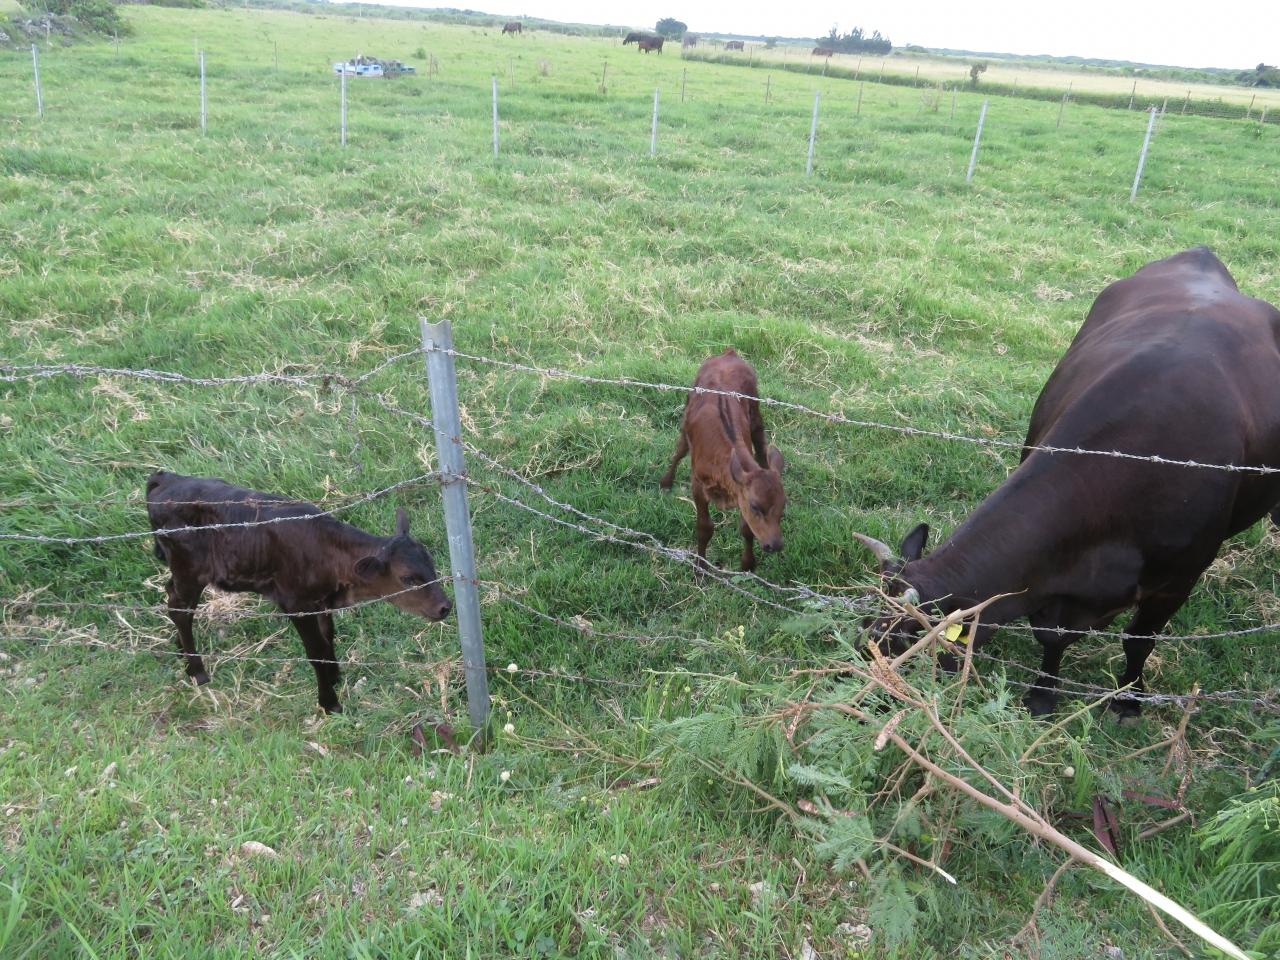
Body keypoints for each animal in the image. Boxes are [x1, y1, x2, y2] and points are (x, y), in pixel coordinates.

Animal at [146, 472, 452, 715]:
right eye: (408, 578)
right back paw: (197, 670)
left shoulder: (322, 601)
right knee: (179, 608)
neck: (328, 553)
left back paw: (181, 649)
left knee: (172, 596)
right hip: (189, 570)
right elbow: (314, 650)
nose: (445, 607)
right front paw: (329, 702)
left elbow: (328, 637)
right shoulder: (295, 603)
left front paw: (334, 675)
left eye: (432, 565)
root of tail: (166, 478)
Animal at [660, 350, 786, 574]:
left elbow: (746, 529)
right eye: (755, 506)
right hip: (686, 415)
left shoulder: (741, 491)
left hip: (756, 413)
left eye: (783, 507)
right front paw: (700, 566)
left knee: (762, 450)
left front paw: (747, 564)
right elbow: (704, 527)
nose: (776, 545)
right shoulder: (698, 484)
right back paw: (666, 482)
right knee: (679, 450)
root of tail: (728, 353)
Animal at [855, 247, 1280, 721]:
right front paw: (1043, 695)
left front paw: (1129, 699)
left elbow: (1139, 641)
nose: (853, 691)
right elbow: (1052, 636)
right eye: (867, 627)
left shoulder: (1177, 580)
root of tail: (1200, 254)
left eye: (903, 644)